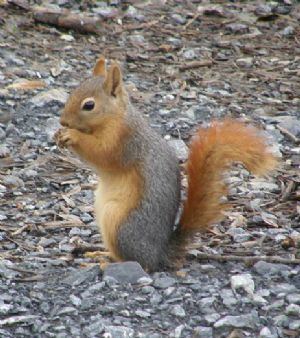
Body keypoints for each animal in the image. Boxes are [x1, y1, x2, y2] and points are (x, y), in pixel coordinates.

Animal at [55, 56, 276, 272]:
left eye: (89, 105)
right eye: (73, 91)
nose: (63, 121)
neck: (116, 117)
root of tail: (158, 254)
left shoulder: (125, 141)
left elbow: (102, 152)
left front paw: (72, 136)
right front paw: (59, 134)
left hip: (119, 223)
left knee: (138, 263)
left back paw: (105, 262)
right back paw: (98, 253)